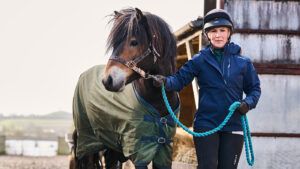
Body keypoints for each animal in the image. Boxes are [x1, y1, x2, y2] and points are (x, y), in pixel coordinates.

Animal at [70, 7, 178, 169]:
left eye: (134, 42)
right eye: (114, 45)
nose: (107, 80)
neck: (158, 101)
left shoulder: (164, 151)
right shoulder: (139, 152)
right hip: (88, 142)